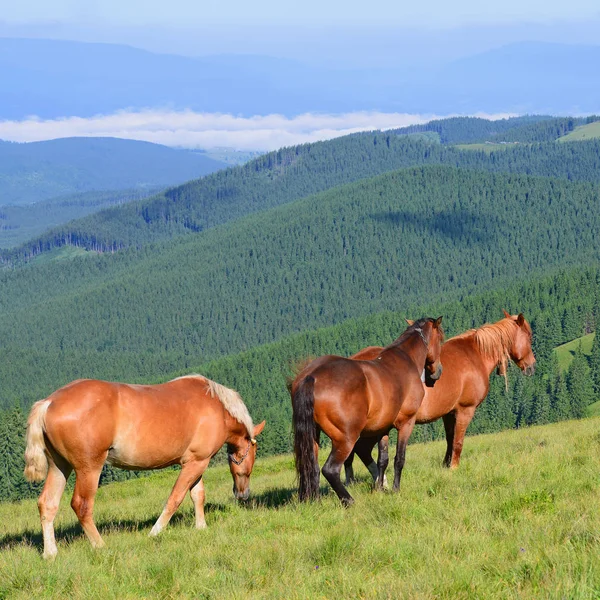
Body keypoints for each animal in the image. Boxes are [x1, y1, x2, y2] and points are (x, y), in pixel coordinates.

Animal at [24, 372, 264, 560]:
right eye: (253, 453)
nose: (243, 494)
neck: (218, 408)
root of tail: (49, 403)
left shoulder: (197, 462)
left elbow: (198, 495)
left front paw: (201, 527)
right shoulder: (195, 463)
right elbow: (175, 498)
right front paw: (155, 532)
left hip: (59, 467)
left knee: (47, 504)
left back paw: (50, 553)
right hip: (89, 468)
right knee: (81, 505)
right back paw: (100, 546)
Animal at [290, 318, 446, 506]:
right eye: (441, 339)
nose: (438, 371)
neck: (405, 358)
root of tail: (311, 376)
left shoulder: (383, 428)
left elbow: (382, 460)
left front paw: (379, 489)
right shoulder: (406, 423)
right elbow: (399, 459)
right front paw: (395, 489)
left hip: (313, 435)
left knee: (311, 468)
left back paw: (316, 501)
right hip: (346, 438)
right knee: (330, 469)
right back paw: (348, 500)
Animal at [344, 310, 536, 482]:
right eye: (529, 336)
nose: (532, 366)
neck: (474, 355)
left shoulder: (449, 413)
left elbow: (450, 440)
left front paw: (446, 466)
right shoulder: (465, 410)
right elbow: (458, 442)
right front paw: (454, 468)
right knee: (359, 450)